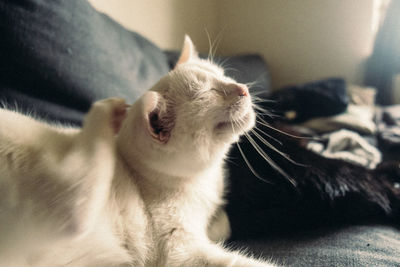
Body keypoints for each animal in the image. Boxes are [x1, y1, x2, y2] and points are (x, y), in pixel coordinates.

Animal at [0, 36, 276, 267]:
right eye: (210, 92)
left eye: (223, 76)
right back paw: (106, 111)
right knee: (76, 204)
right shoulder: (180, 252)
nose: (243, 88)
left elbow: (222, 223)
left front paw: (217, 225)